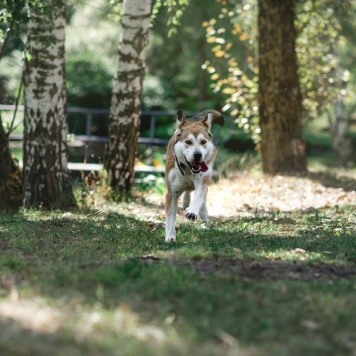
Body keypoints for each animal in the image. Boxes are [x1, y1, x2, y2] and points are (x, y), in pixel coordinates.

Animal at [165, 108, 225, 242]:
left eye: (203, 142)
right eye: (188, 142)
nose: (198, 155)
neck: (188, 170)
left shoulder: (202, 181)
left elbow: (199, 197)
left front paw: (193, 212)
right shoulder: (172, 192)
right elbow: (171, 216)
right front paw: (170, 237)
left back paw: (202, 212)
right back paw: (186, 201)